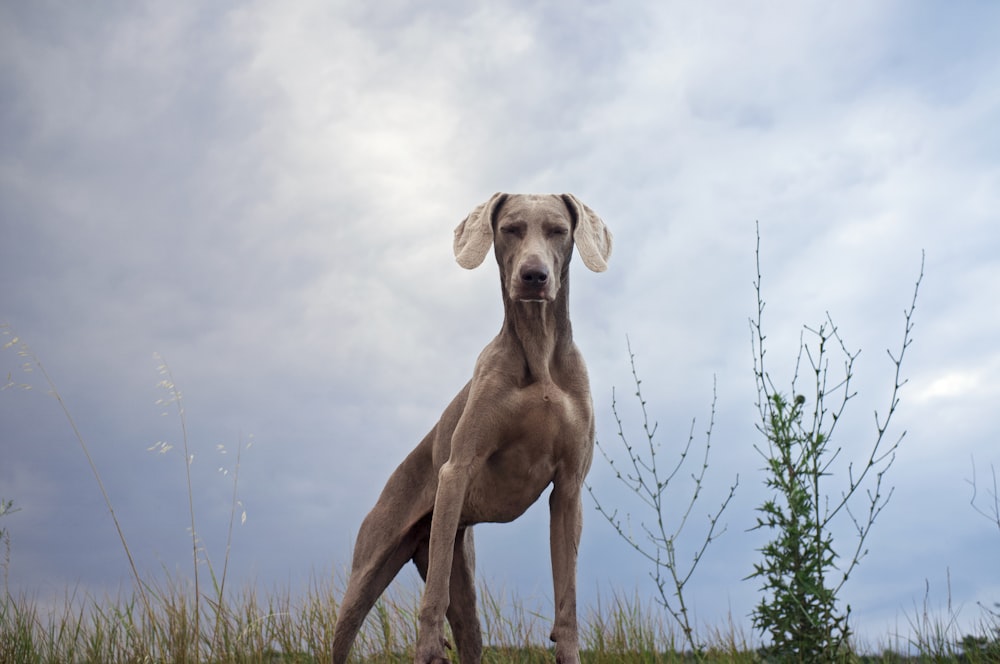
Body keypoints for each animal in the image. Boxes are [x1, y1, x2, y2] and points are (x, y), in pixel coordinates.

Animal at [330, 195, 608, 660]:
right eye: (511, 229)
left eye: (558, 230)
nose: (534, 277)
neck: (540, 352)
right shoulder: (457, 469)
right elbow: (432, 600)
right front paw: (428, 648)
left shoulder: (569, 487)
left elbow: (566, 594)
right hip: (374, 565)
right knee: (349, 627)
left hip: (460, 568)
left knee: (470, 631)